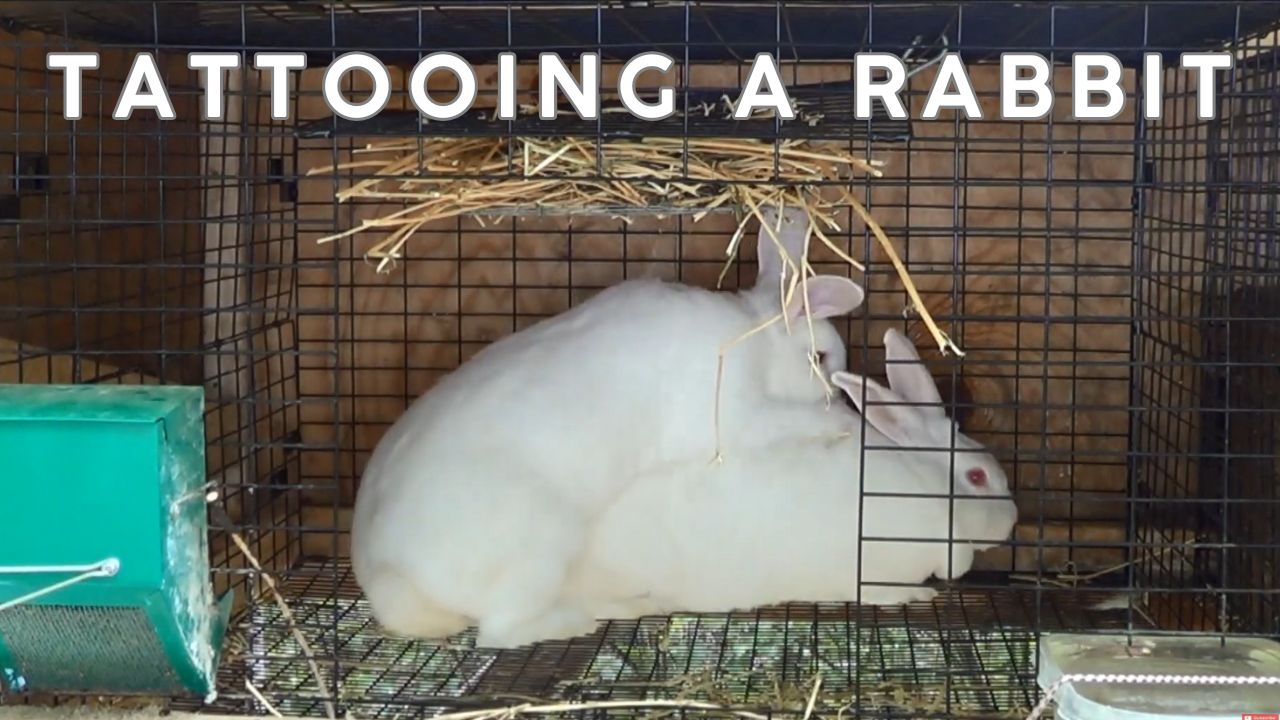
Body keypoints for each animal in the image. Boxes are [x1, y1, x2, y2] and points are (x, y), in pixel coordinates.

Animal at [351, 207, 866, 646]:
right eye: (820, 359)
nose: (842, 395)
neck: (752, 338)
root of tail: (386, 575)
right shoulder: (734, 419)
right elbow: (786, 421)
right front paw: (841, 422)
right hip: (541, 547)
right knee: (501, 632)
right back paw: (577, 623)